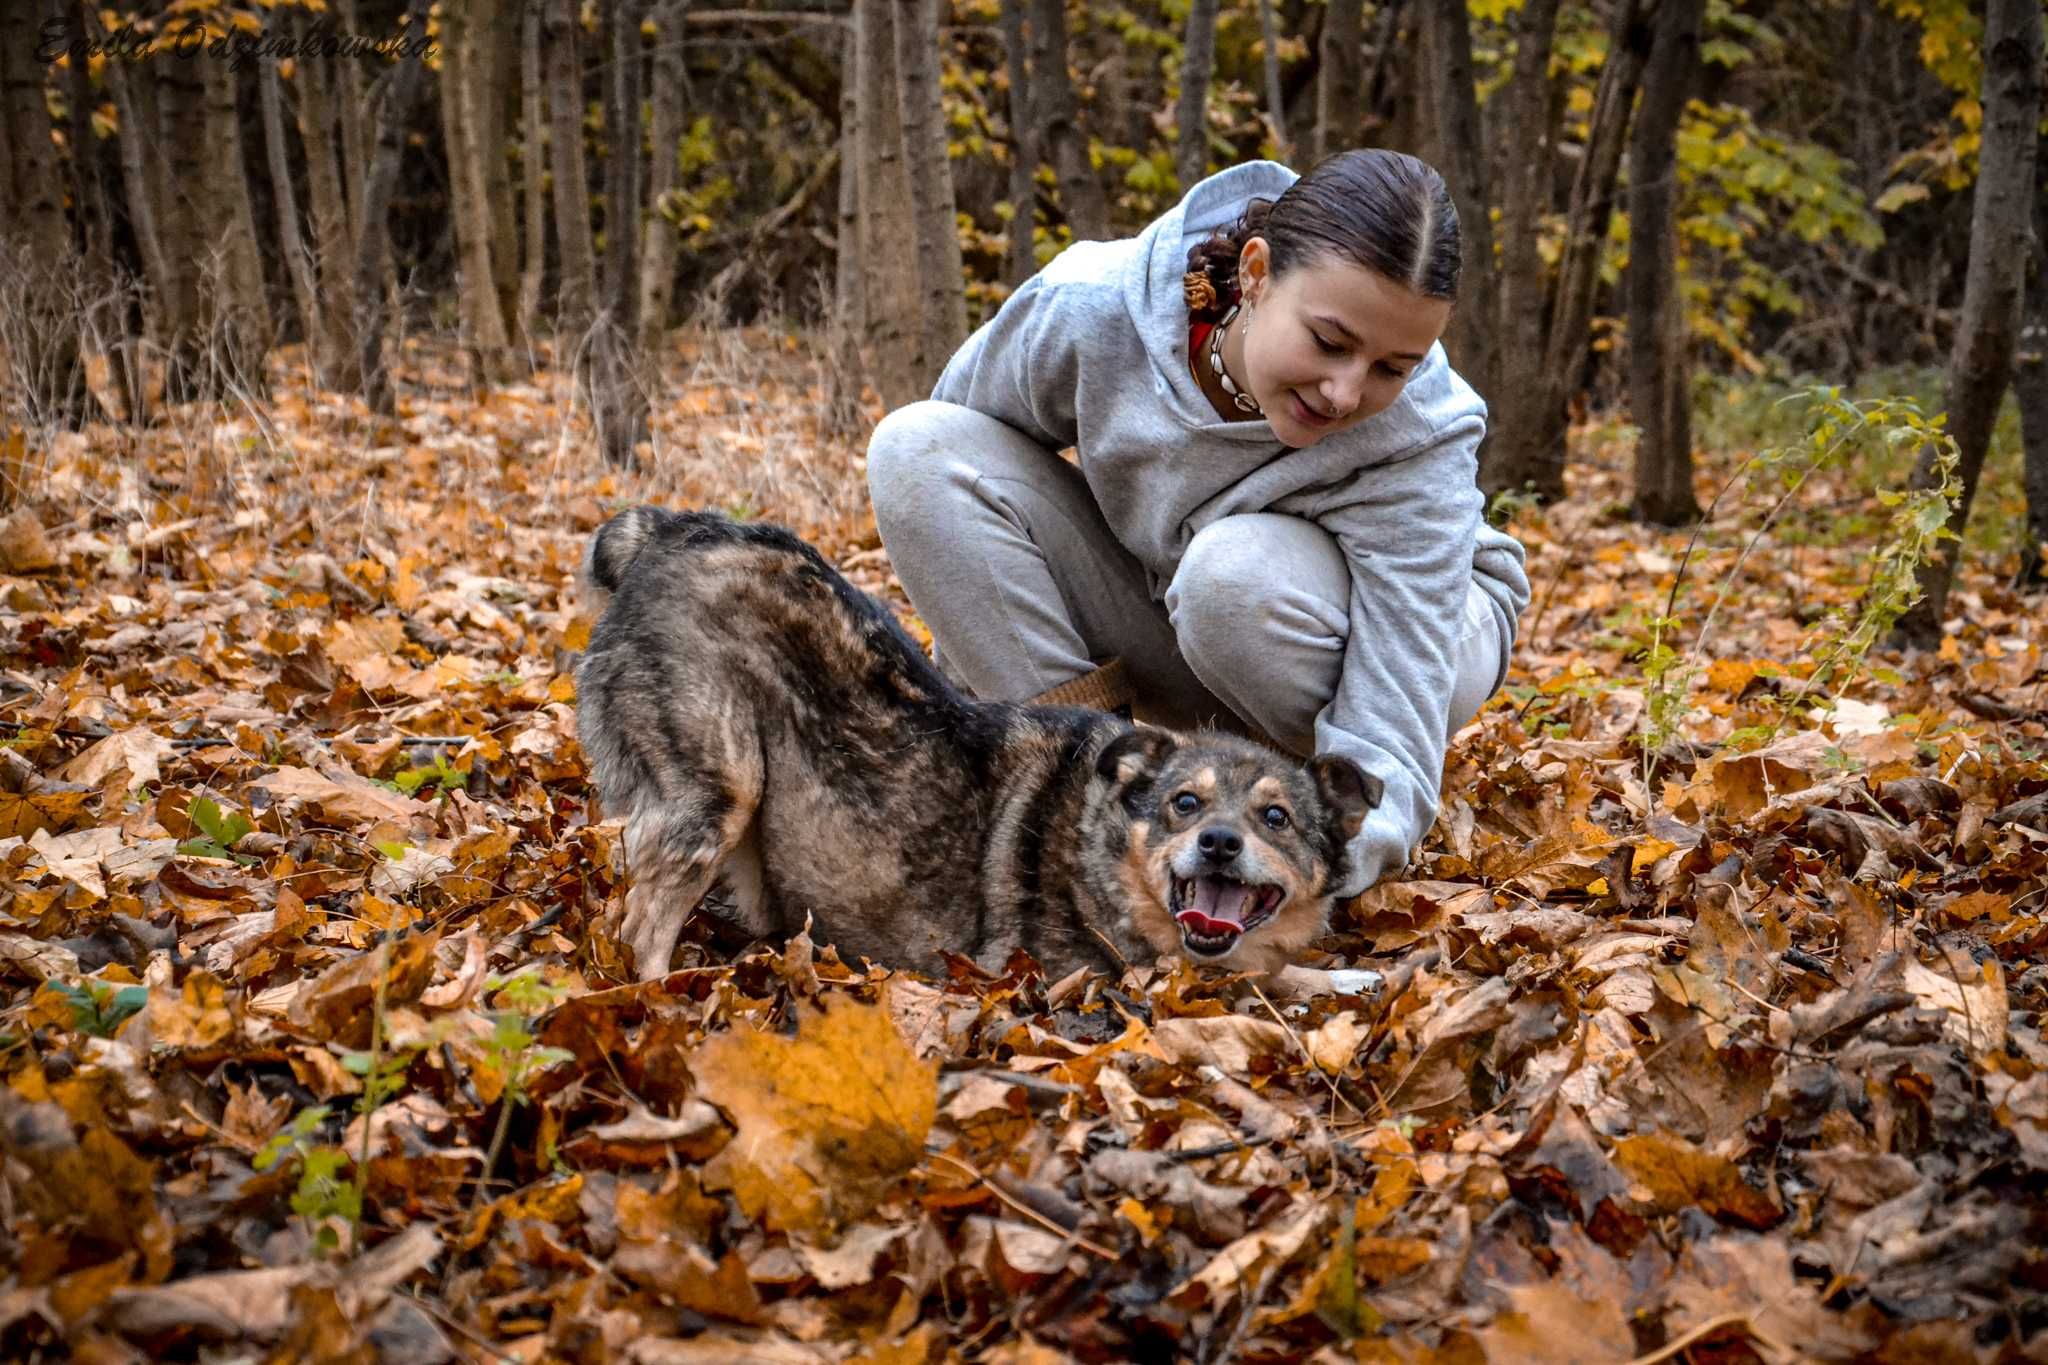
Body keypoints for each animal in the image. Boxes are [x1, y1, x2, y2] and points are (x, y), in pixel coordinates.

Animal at [569, 507, 1384, 998]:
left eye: (1276, 818)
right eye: (1185, 803)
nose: (1218, 843)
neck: (1100, 844)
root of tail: (672, 528)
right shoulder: (1093, 976)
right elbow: (1255, 979)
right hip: (721, 786)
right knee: (640, 929)